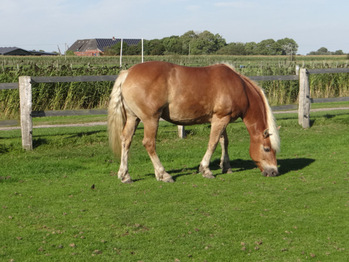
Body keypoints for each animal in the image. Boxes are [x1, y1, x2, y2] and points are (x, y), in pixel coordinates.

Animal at [107, 61, 278, 184]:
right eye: (267, 149)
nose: (274, 172)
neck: (239, 86)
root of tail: (127, 73)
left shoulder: (222, 118)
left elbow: (224, 141)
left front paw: (226, 166)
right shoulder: (220, 119)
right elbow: (213, 142)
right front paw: (206, 169)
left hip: (133, 118)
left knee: (126, 140)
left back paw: (125, 175)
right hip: (151, 119)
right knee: (149, 143)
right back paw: (163, 174)